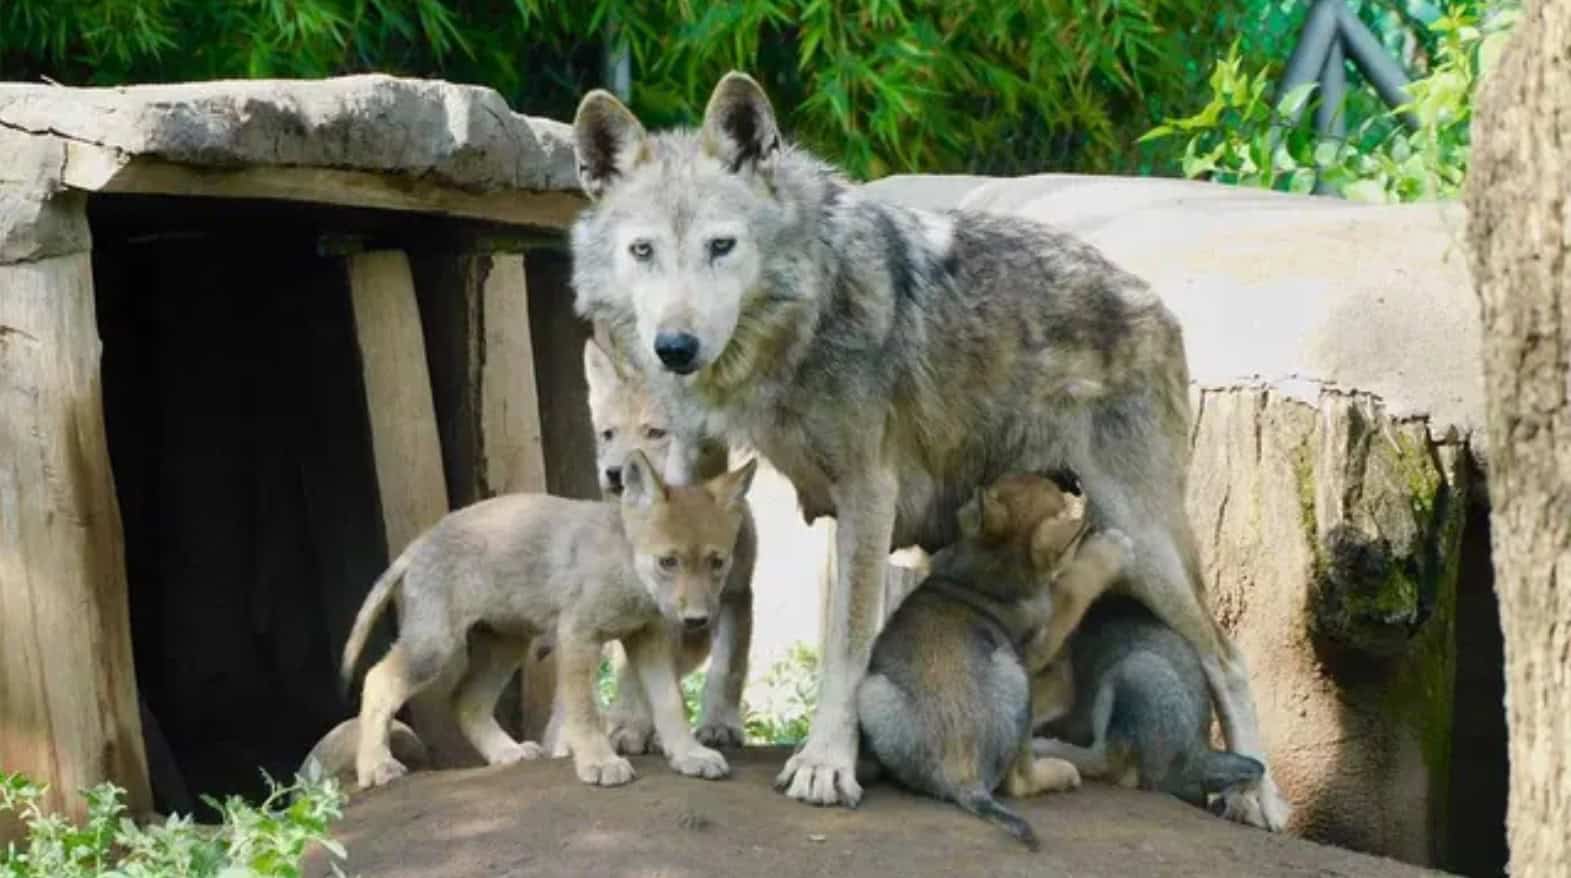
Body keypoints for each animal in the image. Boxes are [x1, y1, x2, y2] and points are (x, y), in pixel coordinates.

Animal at [339, 449, 756, 790]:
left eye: (717, 563)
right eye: (668, 562)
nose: (697, 620)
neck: (626, 570)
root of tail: (416, 545)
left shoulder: (648, 639)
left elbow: (670, 703)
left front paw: (689, 754)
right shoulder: (579, 637)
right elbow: (584, 711)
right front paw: (599, 761)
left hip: (504, 646)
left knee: (465, 701)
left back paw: (505, 753)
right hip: (434, 647)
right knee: (378, 680)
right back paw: (375, 767)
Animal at [858, 471, 1132, 850]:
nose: (1071, 485)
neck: (989, 572)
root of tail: (962, 776)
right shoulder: (1041, 640)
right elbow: (1074, 587)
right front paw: (1112, 550)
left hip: (872, 692)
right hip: (1017, 676)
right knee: (1020, 781)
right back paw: (1061, 771)